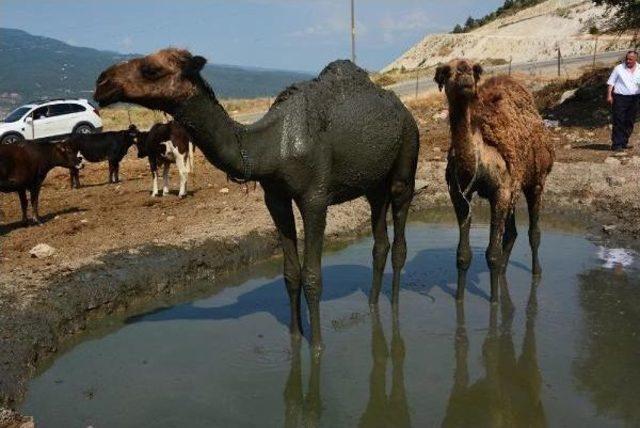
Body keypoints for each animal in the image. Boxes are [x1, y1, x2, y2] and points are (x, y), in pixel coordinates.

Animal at [436, 58, 556, 302]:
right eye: (446, 71)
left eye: (474, 70)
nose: (464, 73)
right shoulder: (459, 194)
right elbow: (463, 255)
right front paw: (459, 299)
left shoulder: (500, 191)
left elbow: (491, 254)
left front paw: (493, 301)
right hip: (514, 187)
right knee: (512, 232)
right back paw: (503, 272)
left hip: (536, 180)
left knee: (533, 232)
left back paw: (536, 273)